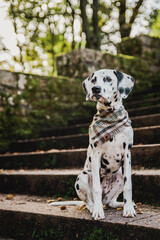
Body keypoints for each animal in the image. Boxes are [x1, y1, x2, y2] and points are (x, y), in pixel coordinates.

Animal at [75, 68, 136, 220]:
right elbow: (96, 188)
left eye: (108, 79)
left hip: (119, 175)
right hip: (82, 177)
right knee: (88, 201)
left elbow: (128, 186)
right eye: (93, 80)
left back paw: (121, 204)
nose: (95, 89)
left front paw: (128, 209)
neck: (110, 116)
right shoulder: (96, 155)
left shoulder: (127, 154)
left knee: (111, 202)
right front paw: (97, 212)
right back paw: (94, 208)